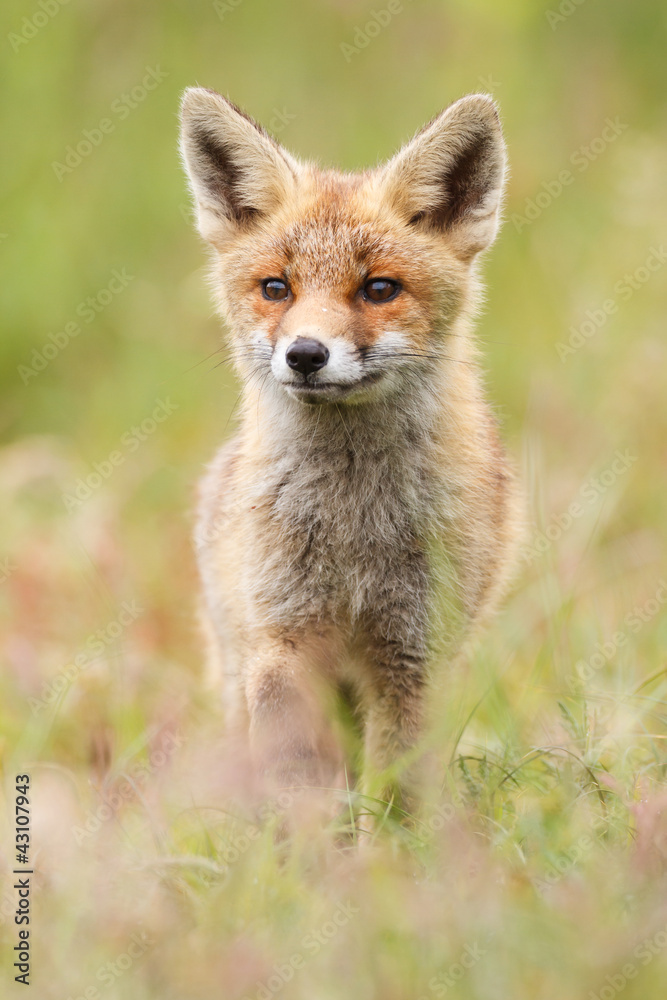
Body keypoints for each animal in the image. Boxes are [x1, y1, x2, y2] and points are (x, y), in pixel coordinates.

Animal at [180, 86, 524, 816]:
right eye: (276, 288)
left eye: (378, 289)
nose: (306, 354)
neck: (352, 525)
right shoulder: (283, 642)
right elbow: (294, 784)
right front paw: (300, 849)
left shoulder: (411, 655)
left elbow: (396, 800)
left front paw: (388, 851)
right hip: (240, 666)